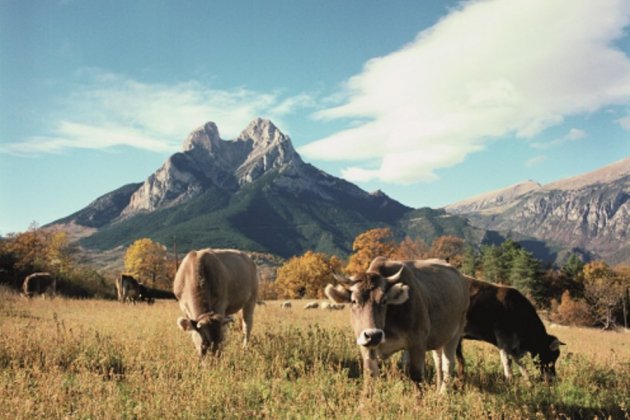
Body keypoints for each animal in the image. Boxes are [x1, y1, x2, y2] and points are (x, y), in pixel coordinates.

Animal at [328, 256, 472, 394]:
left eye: (384, 300)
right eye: (354, 301)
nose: (374, 335)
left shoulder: (417, 342)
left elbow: (417, 378)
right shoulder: (365, 345)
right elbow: (370, 376)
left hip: (456, 333)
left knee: (447, 364)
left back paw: (443, 394)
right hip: (438, 337)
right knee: (438, 361)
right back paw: (437, 390)